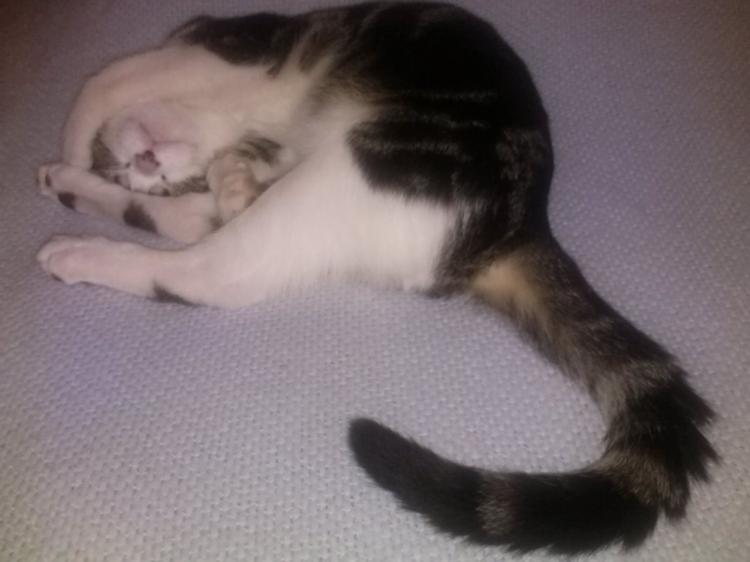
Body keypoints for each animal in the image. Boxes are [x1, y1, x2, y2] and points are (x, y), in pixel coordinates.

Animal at [36, 2, 717, 555]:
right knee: (199, 248)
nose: (145, 167)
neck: (234, 121)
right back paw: (78, 205)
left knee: (207, 273)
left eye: (144, 169)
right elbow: (193, 191)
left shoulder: (227, 50)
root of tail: (518, 226)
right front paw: (128, 176)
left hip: (357, 162)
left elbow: (107, 80)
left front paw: (74, 143)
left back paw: (75, 245)